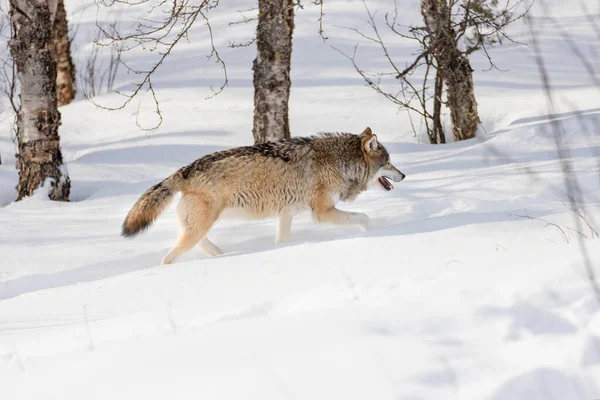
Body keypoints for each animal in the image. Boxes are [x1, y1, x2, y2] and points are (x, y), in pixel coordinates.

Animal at [120, 128, 406, 264]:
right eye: (389, 163)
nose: (403, 175)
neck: (340, 161)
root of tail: (184, 170)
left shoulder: (286, 215)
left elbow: (282, 242)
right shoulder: (322, 214)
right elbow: (364, 217)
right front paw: (374, 234)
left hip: (196, 227)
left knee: (200, 245)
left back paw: (223, 255)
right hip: (199, 226)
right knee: (168, 258)